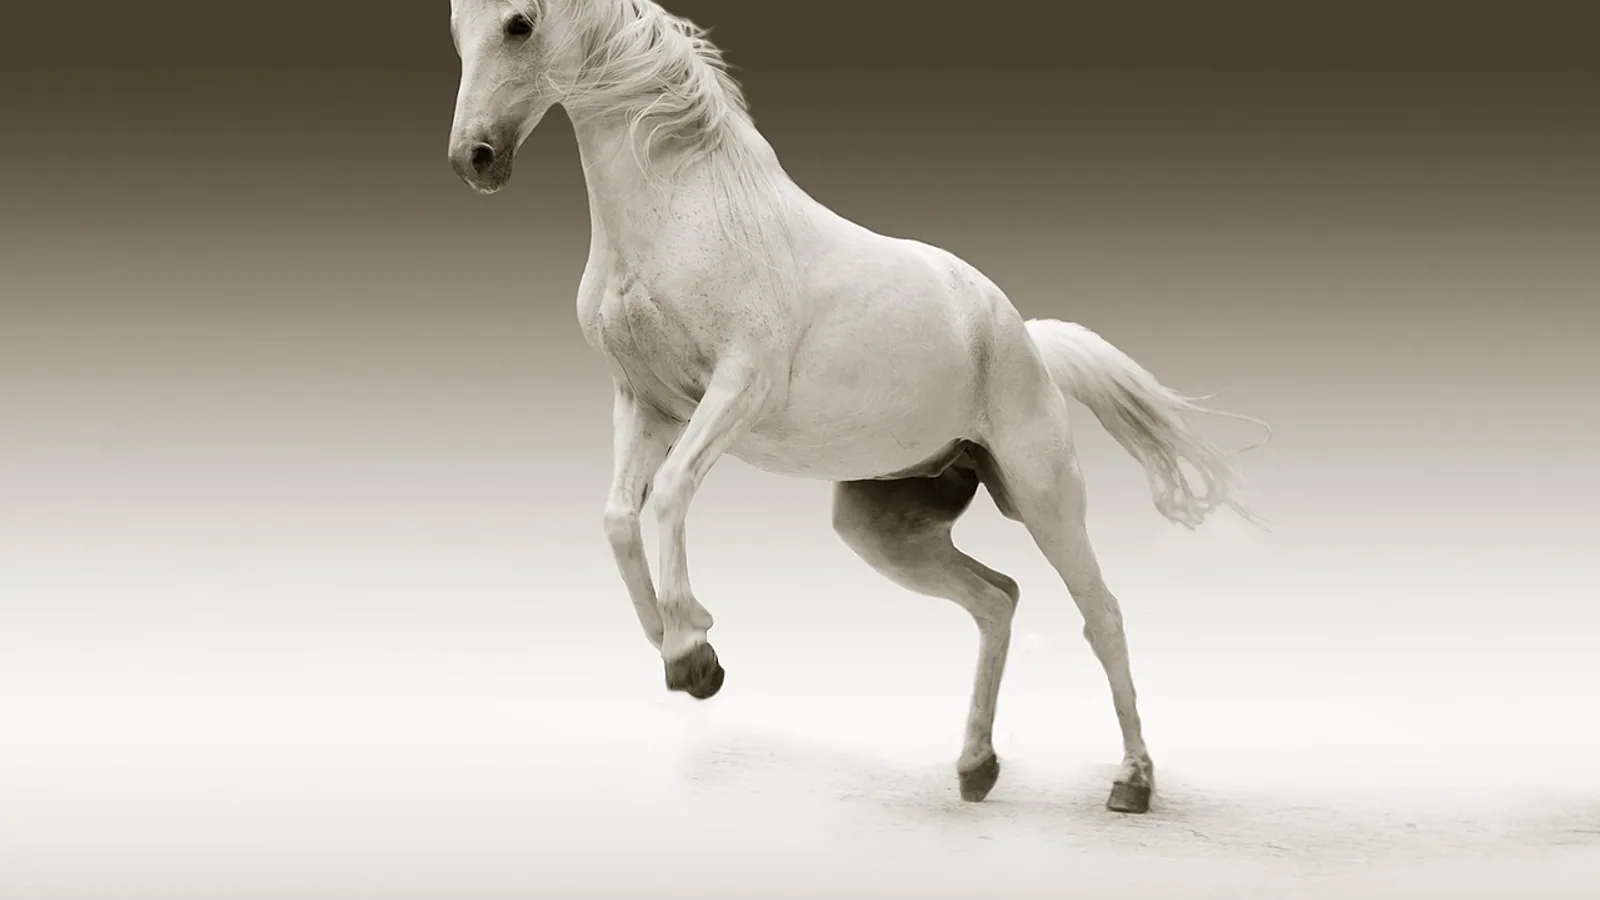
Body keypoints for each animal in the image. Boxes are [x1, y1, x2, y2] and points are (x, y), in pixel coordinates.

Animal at [444, 0, 1268, 814]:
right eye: (457, 26)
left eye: (519, 24)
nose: (473, 159)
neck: (683, 213)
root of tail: (1023, 337)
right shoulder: (645, 403)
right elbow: (618, 518)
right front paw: (682, 641)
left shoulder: (737, 388)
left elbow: (671, 493)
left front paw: (692, 655)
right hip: (883, 527)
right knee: (996, 599)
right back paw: (976, 768)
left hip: (1043, 498)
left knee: (1102, 614)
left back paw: (1132, 782)